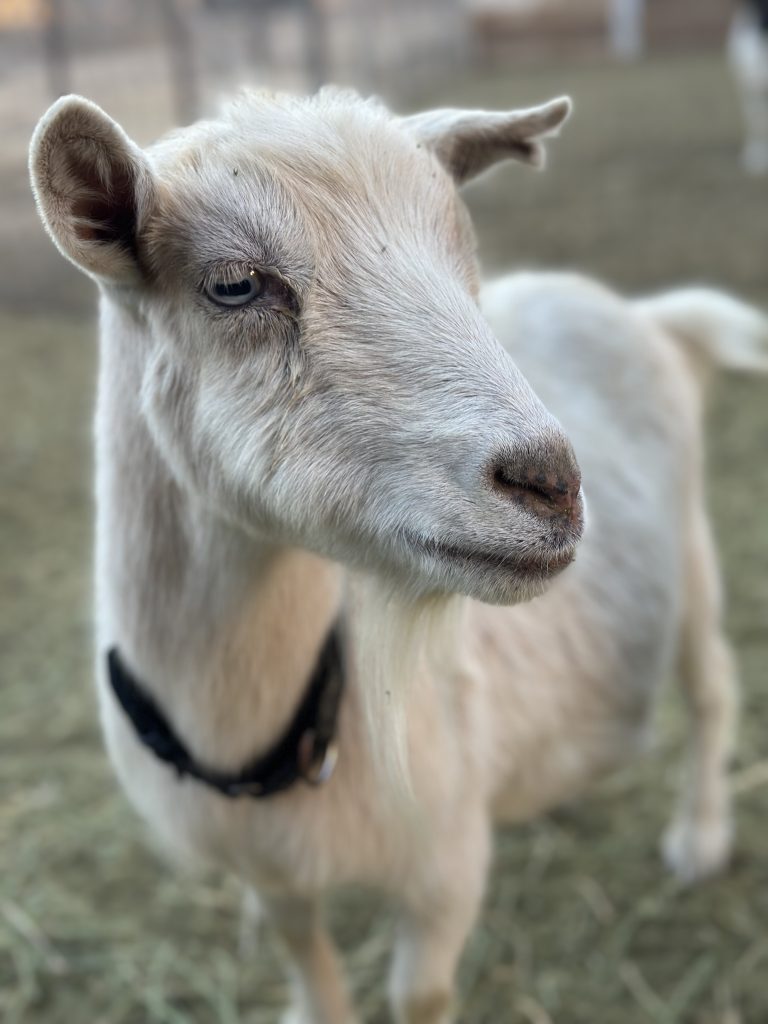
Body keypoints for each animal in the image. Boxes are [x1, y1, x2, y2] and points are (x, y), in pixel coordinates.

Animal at [30, 87, 768, 1024]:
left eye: (463, 258)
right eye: (234, 284)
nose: (552, 483)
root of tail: (644, 315)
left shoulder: (444, 865)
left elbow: (420, 994)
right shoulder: (273, 872)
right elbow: (305, 957)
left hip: (694, 552)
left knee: (713, 686)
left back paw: (700, 838)